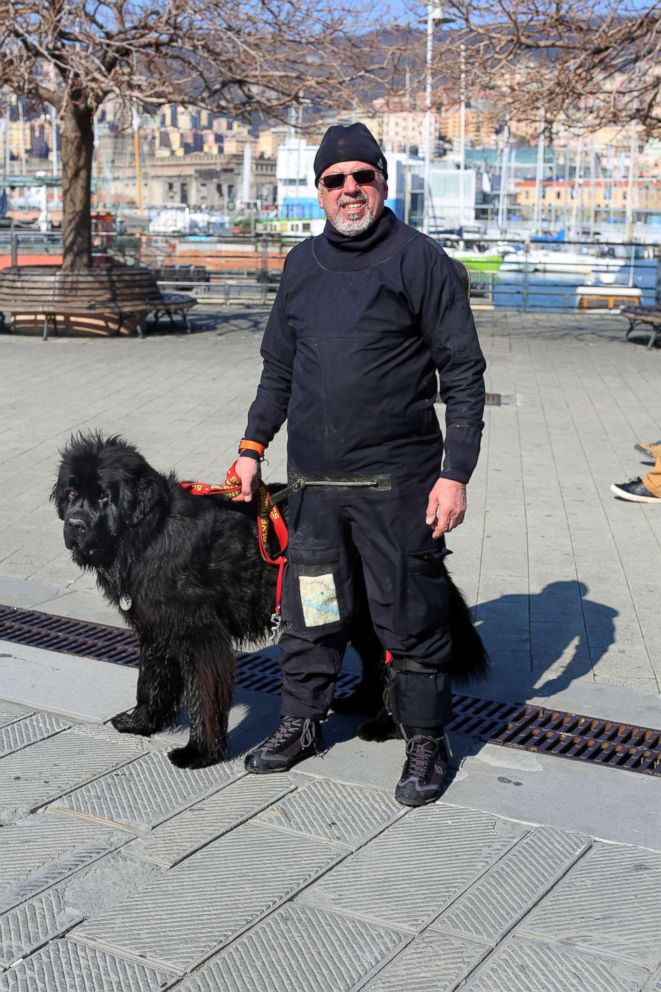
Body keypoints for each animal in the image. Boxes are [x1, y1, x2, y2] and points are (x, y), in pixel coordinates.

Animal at [51, 432, 488, 768]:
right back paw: (359, 702)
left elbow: (202, 694)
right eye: (71, 493)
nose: (74, 526)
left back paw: (384, 725)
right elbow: (151, 678)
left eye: (104, 498)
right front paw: (141, 721)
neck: (150, 533)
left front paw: (199, 752)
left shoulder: (200, 634)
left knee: (394, 657)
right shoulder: (157, 623)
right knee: (372, 657)